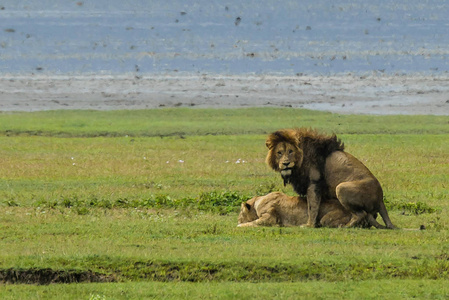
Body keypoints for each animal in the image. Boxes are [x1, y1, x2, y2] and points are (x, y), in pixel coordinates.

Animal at [236, 192, 370, 227]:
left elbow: (254, 222)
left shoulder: (270, 217)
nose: (238, 220)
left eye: (240, 213)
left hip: (325, 219)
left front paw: (240, 225)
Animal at [264, 127, 394, 229]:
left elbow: (312, 206)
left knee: (361, 214)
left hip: (340, 188)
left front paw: (309, 225)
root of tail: (380, 198)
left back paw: (345, 226)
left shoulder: (314, 183)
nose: (286, 163)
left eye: (290, 151)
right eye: (279, 153)